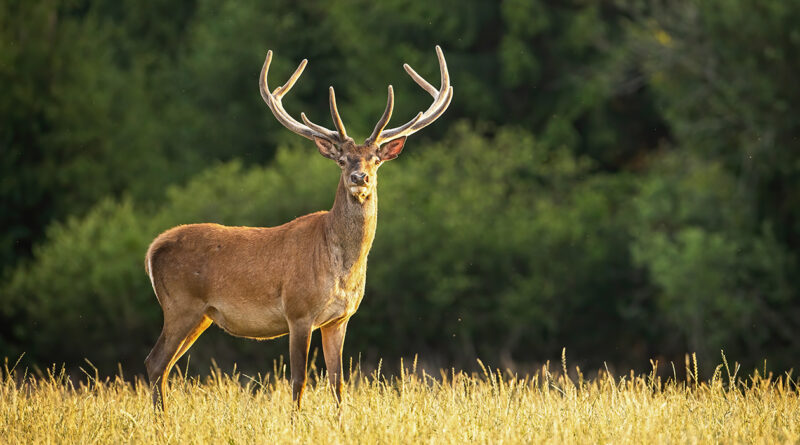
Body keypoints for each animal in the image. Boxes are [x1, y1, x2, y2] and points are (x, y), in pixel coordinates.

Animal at [143, 46, 452, 411]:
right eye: (342, 160)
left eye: (375, 160)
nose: (359, 178)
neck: (341, 268)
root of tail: (153, 249)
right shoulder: (298, 311)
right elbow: (298, 380)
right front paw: (295, 419)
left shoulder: (340, 319)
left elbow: (338, 382)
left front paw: (340, 420)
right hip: (180, 304)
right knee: (155, 362)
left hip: (201, 315)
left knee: (163, 366)